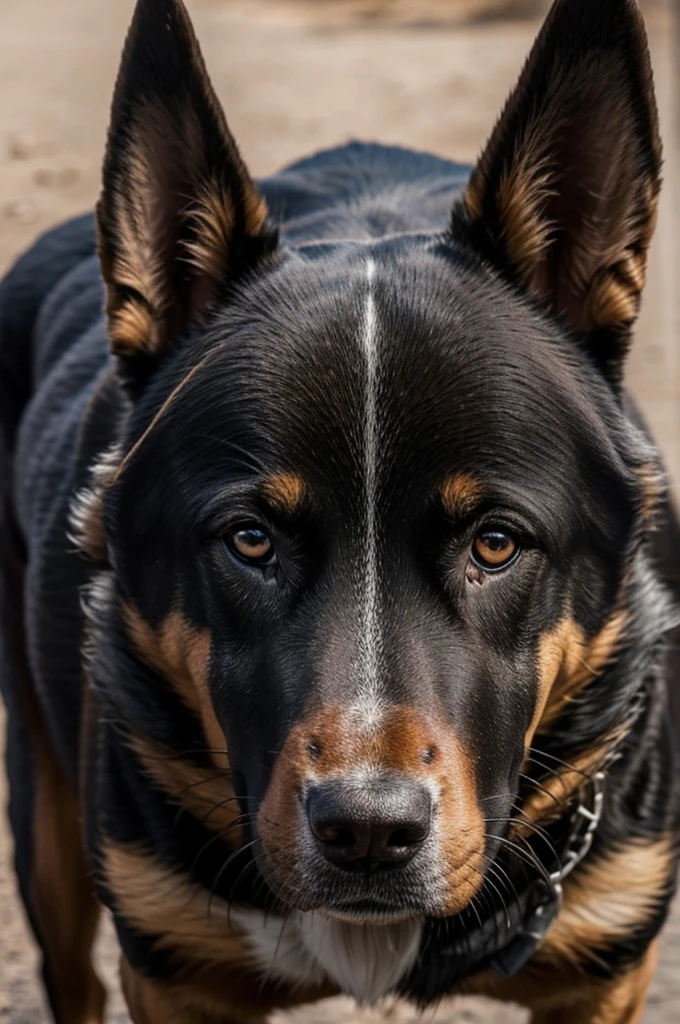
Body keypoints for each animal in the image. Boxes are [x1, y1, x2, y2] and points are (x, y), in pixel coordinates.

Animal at [1, 0, 680, 1019]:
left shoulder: (606, 967)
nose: (366, 830)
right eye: (249, 540)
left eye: (496, 543)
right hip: (45, 827)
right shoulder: (171, 969)